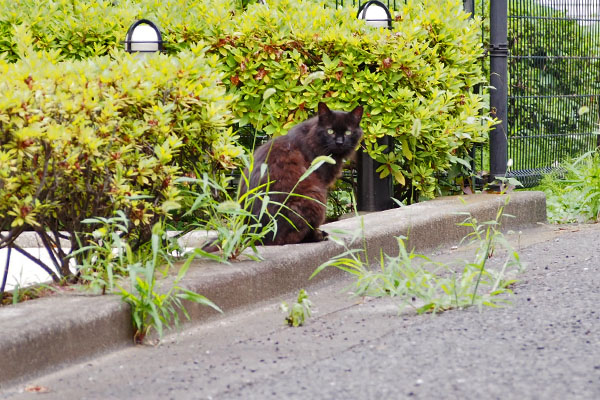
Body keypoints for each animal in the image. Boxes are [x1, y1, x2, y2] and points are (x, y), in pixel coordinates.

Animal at [240, 101, 364, 245]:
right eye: (330, 131)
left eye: (348, 132)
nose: (339, 142)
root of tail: (256, 235)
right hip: (315, 195)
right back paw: (318, 236)